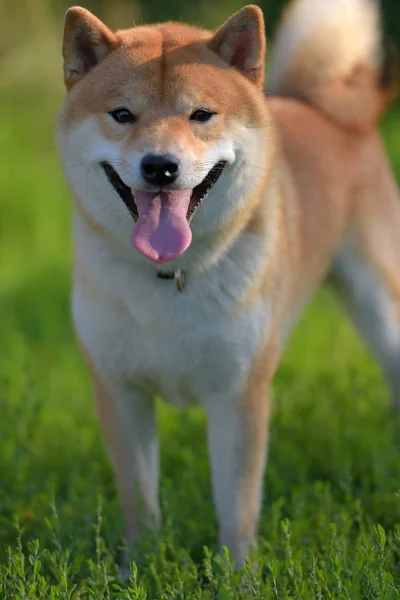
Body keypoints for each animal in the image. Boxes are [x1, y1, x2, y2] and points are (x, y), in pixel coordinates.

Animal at [57, 0, 400, 568]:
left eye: (201, 115)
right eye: (123, 115)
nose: (160, 166)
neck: (170, 276)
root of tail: (325, 107)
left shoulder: (238, 395)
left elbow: (236, 510)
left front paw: (240, 578)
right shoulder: (121, 391)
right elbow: (140, 500)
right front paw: (139, 568)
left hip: (382, 309)